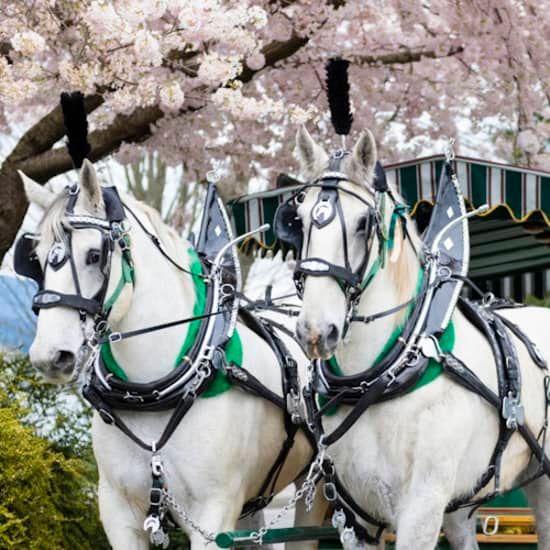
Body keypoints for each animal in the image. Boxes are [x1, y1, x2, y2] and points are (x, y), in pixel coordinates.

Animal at [20, 162, 328, 548]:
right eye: (36, 259)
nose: (50, 356)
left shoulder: (212, 516)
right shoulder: (118, 513)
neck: (152, 391)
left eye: (93, 255)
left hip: (313, 486)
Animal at [294, 126, 550, 550]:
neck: (382, 379)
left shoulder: (421, 507)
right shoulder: (358, 517)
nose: (316, 330)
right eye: (297, 220)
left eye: (364, 223)